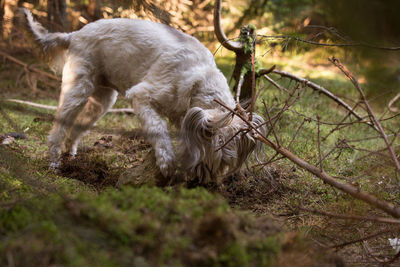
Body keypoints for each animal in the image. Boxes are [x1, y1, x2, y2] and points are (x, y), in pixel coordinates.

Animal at [22, 8, 266, 184]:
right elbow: (158, 129)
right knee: (58, 129)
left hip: (102, 101)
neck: (200, 81)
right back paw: (55, 163)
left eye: (226, 162)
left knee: (76, 129)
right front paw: (166, 162)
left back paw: (72, 156)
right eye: (217, 158)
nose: (203, 182)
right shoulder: (141, 97)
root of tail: (74, 35)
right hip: (77, 90)